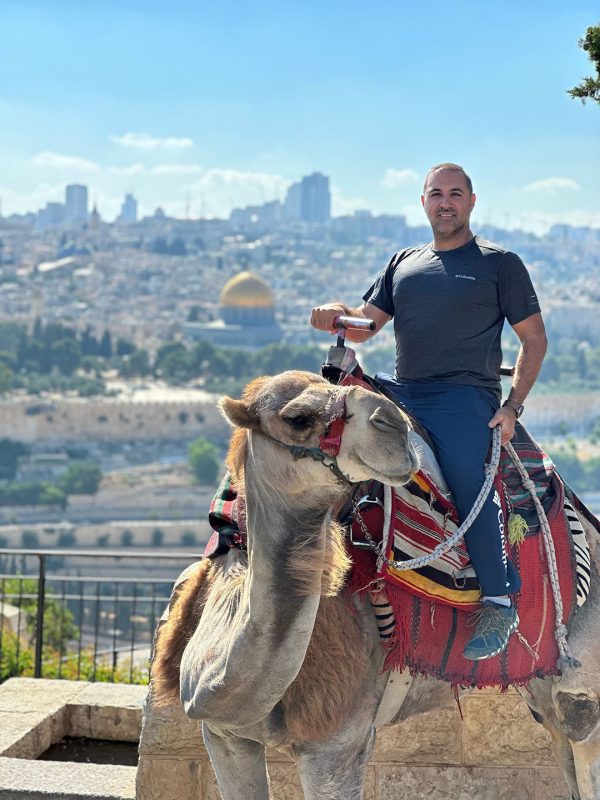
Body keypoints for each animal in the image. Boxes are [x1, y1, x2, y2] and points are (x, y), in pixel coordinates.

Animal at [149, 368, 600, 800]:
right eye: (298, 418)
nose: (393, 425)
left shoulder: (335, 743)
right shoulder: (223, 735)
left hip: (583, 682)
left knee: (580, 732)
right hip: (541, 684)